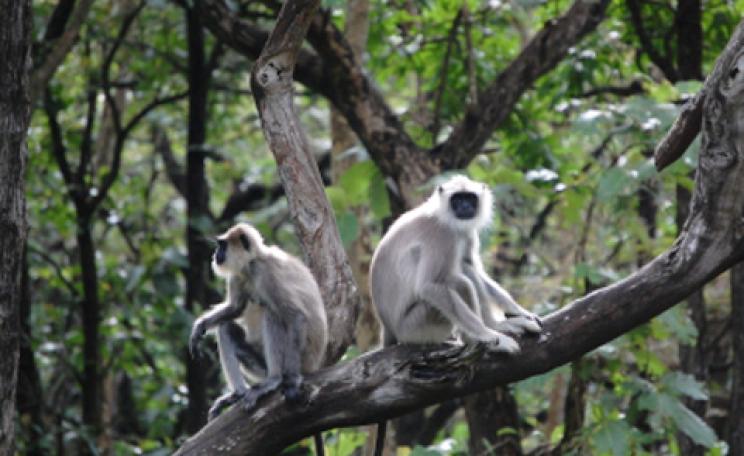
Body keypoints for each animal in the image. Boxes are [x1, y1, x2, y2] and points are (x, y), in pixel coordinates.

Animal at [189, 223, 328, 424]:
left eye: (222, 246)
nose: (215, 254)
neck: (253, 261)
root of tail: (315, 364)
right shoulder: (238, 275)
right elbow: (235, 309)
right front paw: (200, 326)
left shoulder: (264, 271)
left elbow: (296, 316)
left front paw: (293, 381)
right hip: (259, 365)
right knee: (226, 327)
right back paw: (238, 394)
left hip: (303, 360)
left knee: (273, 314)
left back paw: (275, 379)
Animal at [368, 175, 543, 456]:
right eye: (457, 199)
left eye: (469, 198)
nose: (464, 208)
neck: (444, 216)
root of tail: (388, 327)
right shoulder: (442, 235)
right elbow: (430, 286)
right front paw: (488, 336)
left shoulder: (464, 232)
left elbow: (472, 267)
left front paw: (517, 312)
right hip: (417, 325)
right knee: (458, 281)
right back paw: (480, 337)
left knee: (465, 272)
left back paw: (497, 326)